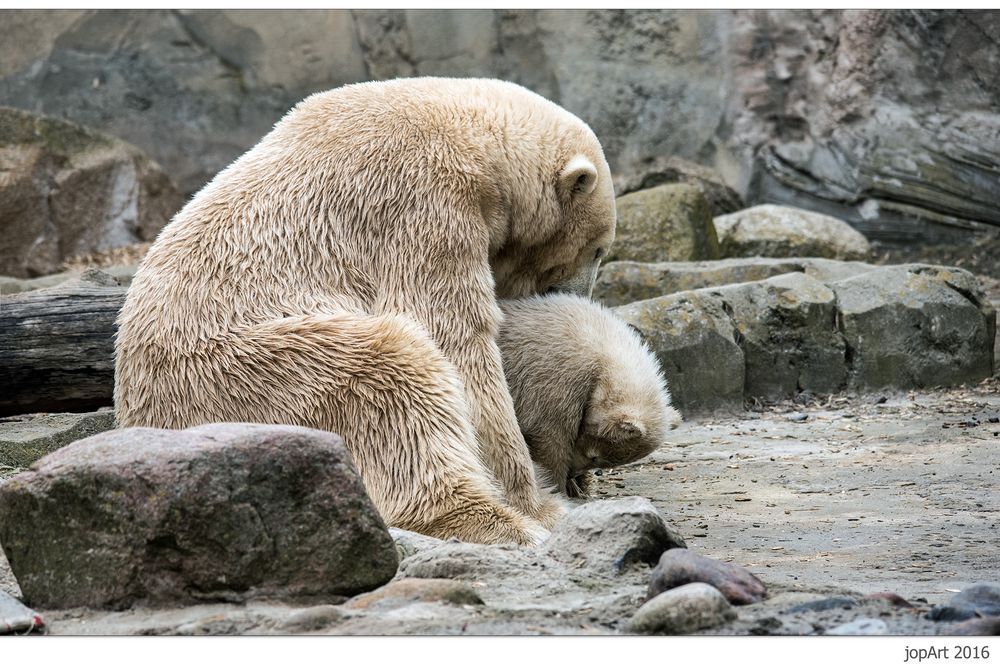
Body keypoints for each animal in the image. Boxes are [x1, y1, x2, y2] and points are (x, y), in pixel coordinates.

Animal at [115, 79, 616, 548]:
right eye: (598, 250)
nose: (575, 295)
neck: (474, 134)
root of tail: (140, 413)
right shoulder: (423, 200)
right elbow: (453, 336)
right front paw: (538, 501)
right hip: (251, 372)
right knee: (391, 376)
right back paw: (491, 521)